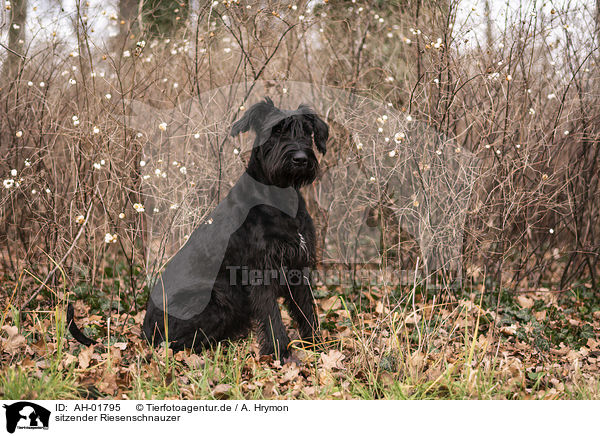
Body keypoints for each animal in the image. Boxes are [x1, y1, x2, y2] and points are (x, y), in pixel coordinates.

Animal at [139, 97, 328, 360]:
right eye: (276, 130)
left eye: (307, 132)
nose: (300, 158)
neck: (280, 197)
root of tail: (145, 330)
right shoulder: (261, 270)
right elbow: (272, 316)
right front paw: (280, 353)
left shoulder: (298, 266)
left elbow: (307, 310)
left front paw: (316, 346)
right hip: (214, 302)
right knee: (178, 344)